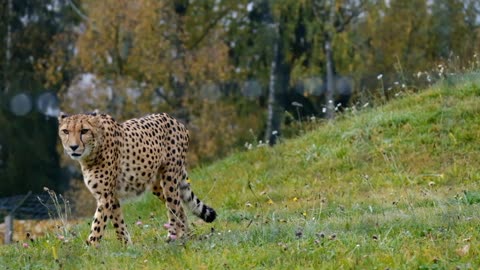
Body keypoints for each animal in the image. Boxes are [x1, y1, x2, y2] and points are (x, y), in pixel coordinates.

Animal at [57, 110, 217, 246]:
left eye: (84, 131)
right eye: (65, 131)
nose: (73, 147)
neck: (92, 152)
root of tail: (174, 119)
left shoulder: (105, 196)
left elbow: (97, 226)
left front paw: (90, 250)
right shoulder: (112, 196)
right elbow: (118, 223)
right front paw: (126, 247)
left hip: (169, 178)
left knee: (173, 208)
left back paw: (173, 237)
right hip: (157, 184)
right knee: (180, 207)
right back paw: (187, 235)